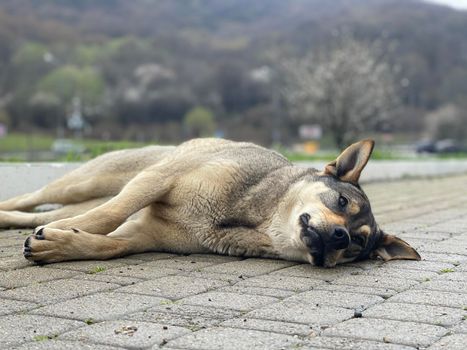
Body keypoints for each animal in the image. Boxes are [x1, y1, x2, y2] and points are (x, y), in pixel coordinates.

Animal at [0, 138, 420, 266]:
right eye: (341, 201)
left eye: (357, 245)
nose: (339, 237)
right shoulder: (158, 180)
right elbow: (111, 215)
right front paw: (58, 235)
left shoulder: (145, 233)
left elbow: (109, 245)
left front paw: (59, 244)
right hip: (87, 182)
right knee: (35, 198)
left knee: (40, 214)